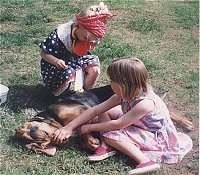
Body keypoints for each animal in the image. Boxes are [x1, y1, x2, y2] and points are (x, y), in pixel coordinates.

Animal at [14, 85, 194, 156]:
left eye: (29, 128)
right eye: (33, 145)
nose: (37, 139)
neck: (54, 117)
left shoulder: (84, 111)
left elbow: (83, 128)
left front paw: (91, 140)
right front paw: (92, 143)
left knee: (168, 111)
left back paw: (187, 123)